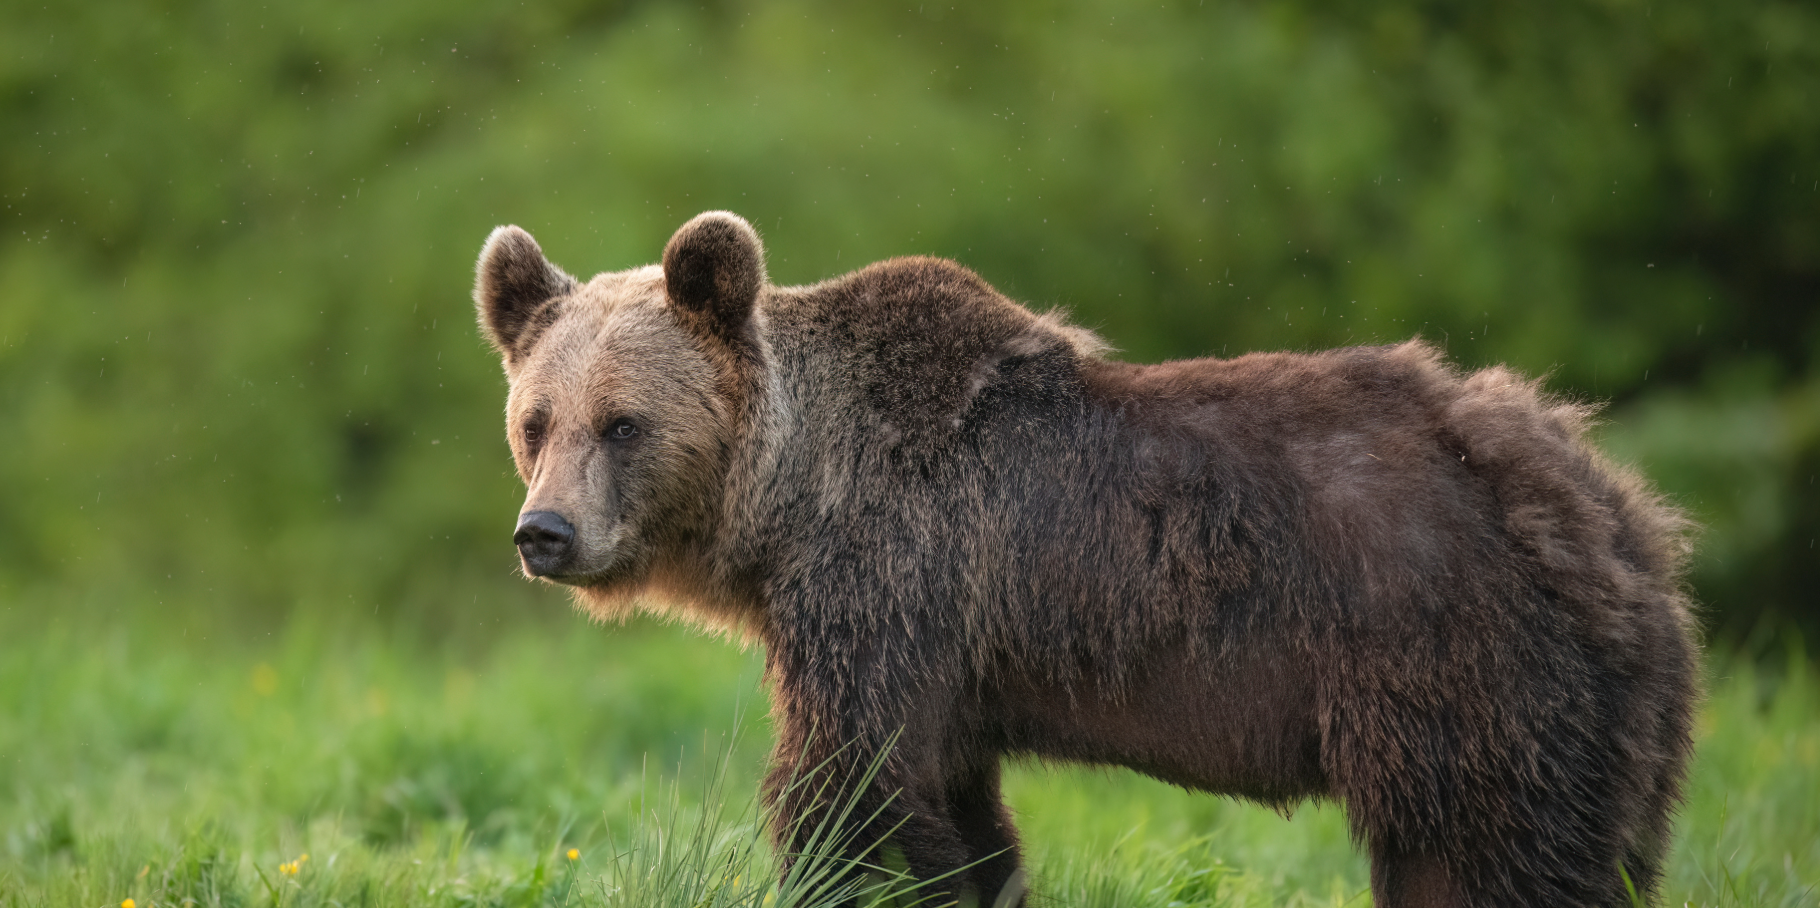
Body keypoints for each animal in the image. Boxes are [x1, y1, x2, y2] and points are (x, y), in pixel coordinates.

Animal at [473, 211, 1699, 908]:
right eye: (535, 421)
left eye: (623, 423)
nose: (546, 533)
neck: (787, 501)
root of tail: (1609, 506)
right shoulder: (949, 652)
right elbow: (954, 806)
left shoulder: (889, 578)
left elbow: (854, 787)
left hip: (1447, 661)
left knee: (1476, 856)